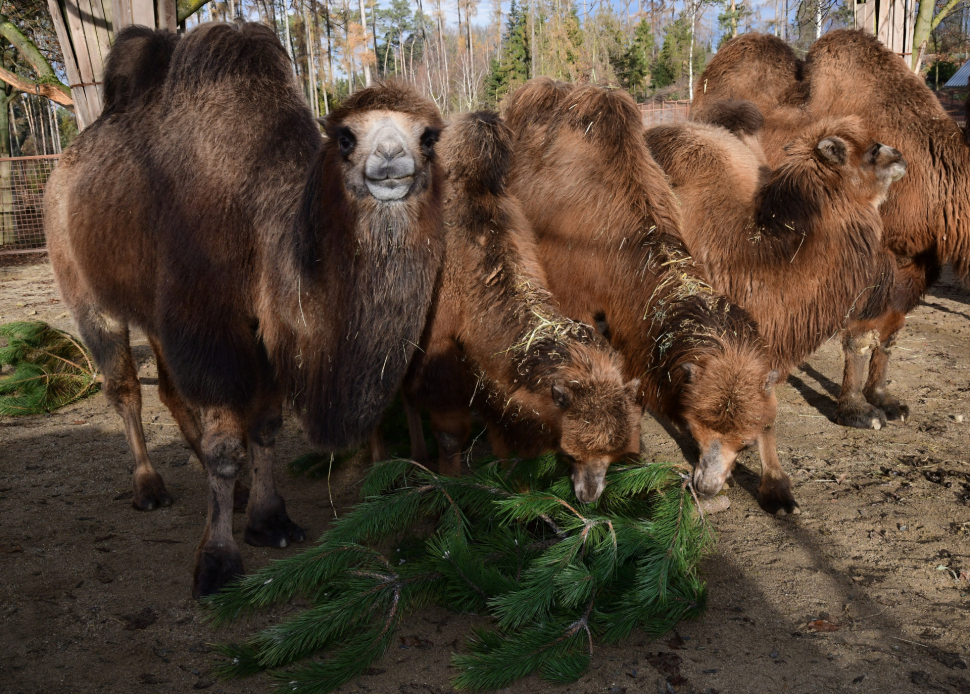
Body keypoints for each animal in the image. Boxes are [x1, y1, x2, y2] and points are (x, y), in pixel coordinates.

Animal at [41, 21, 442, 600]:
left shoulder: (261, 331)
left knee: (169, 390)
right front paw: (217, 560)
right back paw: (148, 487)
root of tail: (61, 172)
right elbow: (226, 445)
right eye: (345, 137)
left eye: (429, 136)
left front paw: (269, 519)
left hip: (158, 313)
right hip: (86, 291)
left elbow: (265, 426)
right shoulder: (211, 326)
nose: (391, 162)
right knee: (123, 388)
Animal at [394, 111, 644, 502]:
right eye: (570, 452)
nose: (588, 495)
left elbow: (504, 438)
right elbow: (449, 435)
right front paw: (449, 486)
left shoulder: (492, 380)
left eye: (612, 454)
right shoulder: (438, 356)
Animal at [502, 80, 792, 516]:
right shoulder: (577, 303)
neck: (612, 243)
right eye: (696, 424)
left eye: (743, 441)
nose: (707, 486)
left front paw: (777, 488)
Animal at [692, 34, 964, 436]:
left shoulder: (912, 269)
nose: (898, 158)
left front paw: (885, 401)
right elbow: (858, 338)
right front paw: (857, 410)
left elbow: (889, 336)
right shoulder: (866, 262)